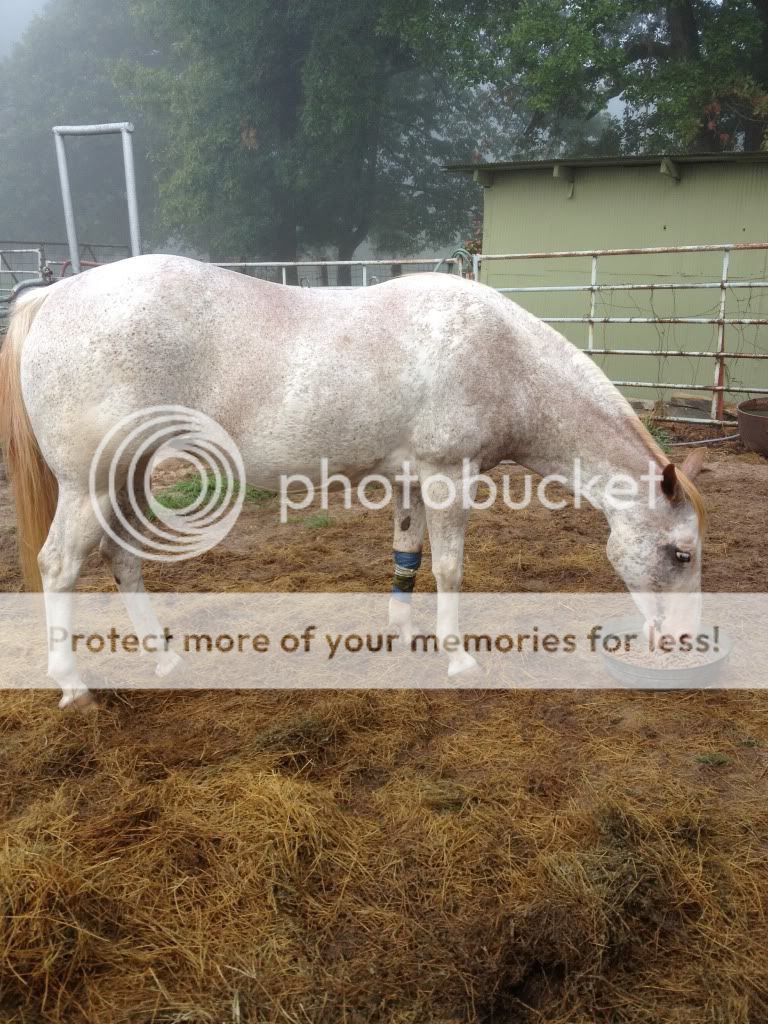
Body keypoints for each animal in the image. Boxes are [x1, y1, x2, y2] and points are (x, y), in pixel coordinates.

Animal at [0, 254, 706, 708]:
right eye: (681, 554)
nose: (681, 640)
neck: (504, 359)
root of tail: (52, 297)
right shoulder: (449, 477)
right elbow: (449, 567)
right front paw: (458, 657)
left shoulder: (412, 482)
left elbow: (407, 556)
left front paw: (402, 634)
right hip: (92, 485)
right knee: (60, 564)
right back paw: (73, 685)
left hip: (130, 477)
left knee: (122, 558)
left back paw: (165, 656)